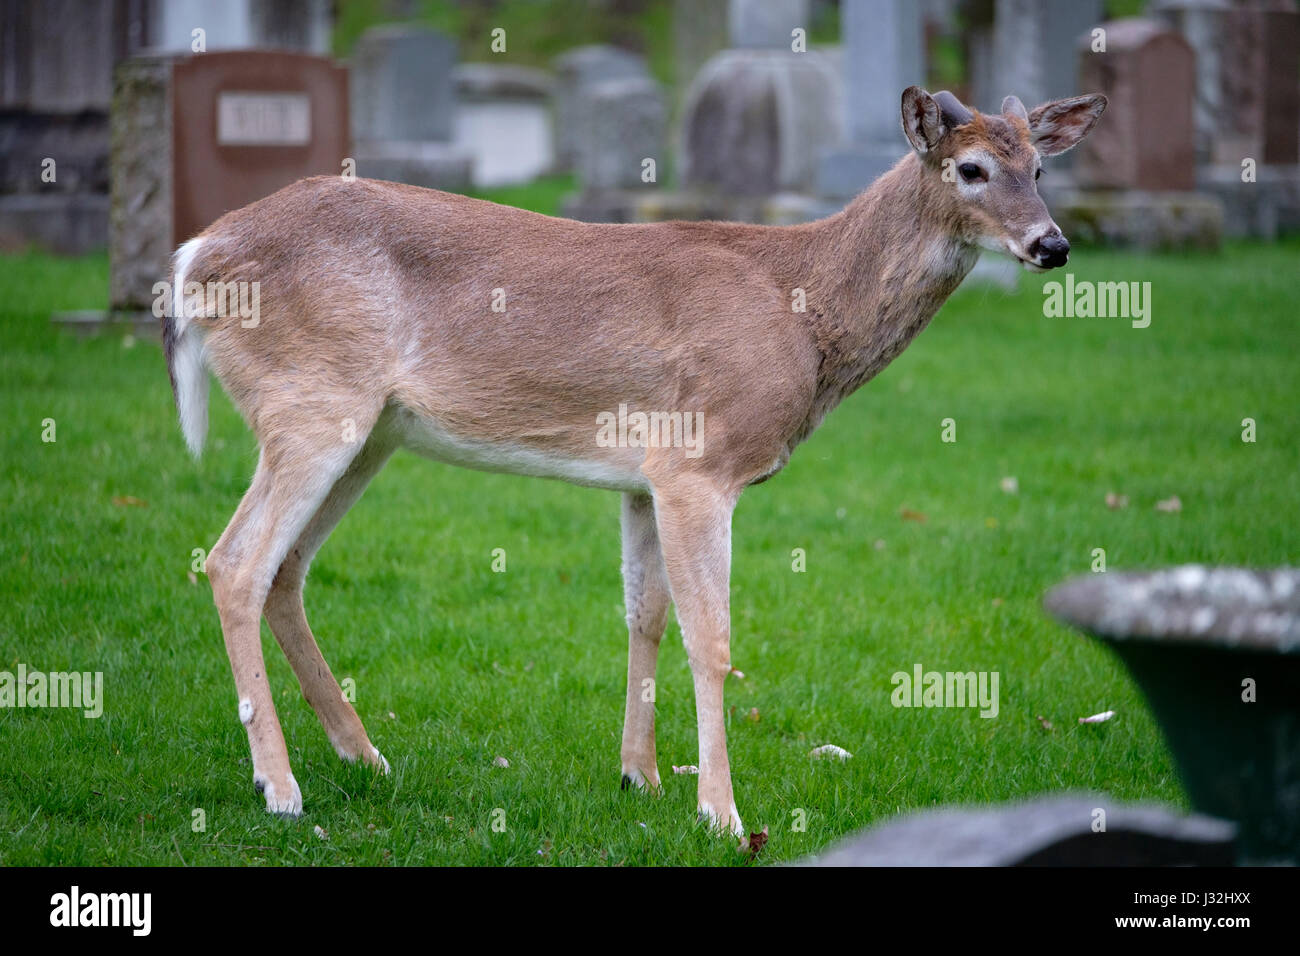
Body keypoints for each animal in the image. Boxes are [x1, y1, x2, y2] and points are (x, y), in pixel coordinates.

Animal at [163, 86, 1105, 837]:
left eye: (1041, 170)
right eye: (972, 169)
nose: (1053, 246)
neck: (803, 311)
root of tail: (191, 258)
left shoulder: (645, 477)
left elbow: (645, 618)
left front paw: (641, 778)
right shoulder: (701, 464)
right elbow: (713, 638)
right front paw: (721, 813)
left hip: (372, 431)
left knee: (285, 570)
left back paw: (365, 757)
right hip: (313, 402)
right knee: (235, 562)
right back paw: (281, 787)